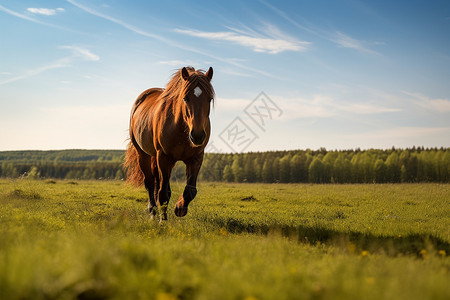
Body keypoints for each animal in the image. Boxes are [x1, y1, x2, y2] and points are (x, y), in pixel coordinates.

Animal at [123, 67, 214, 221]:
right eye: (185, 98)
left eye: (210, 98)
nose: (197, 136)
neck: (181, 128)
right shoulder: (164, 158)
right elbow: (163, 193)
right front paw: (163, 220)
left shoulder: (196, 158)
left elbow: (190, 190)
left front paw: (179, 208)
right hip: (144, 155)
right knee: (150, 183)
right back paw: (152, 211)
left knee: (156, 181)